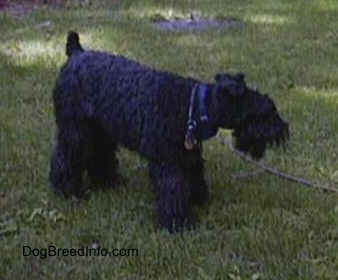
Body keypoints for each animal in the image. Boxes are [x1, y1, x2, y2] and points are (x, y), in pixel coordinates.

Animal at [50, 31, 288, 232]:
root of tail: (77, 53)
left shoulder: (188, 154)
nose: (283, 129)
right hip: (75, 131)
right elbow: (172, 189)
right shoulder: (167, 161)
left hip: (100, 132)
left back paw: (108, 183)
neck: (194, 106)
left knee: (100, 156)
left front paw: (198, 197)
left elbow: (195, 173)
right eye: (266, 110)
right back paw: (67, 190)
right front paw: (178, 223)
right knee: (65, 157)